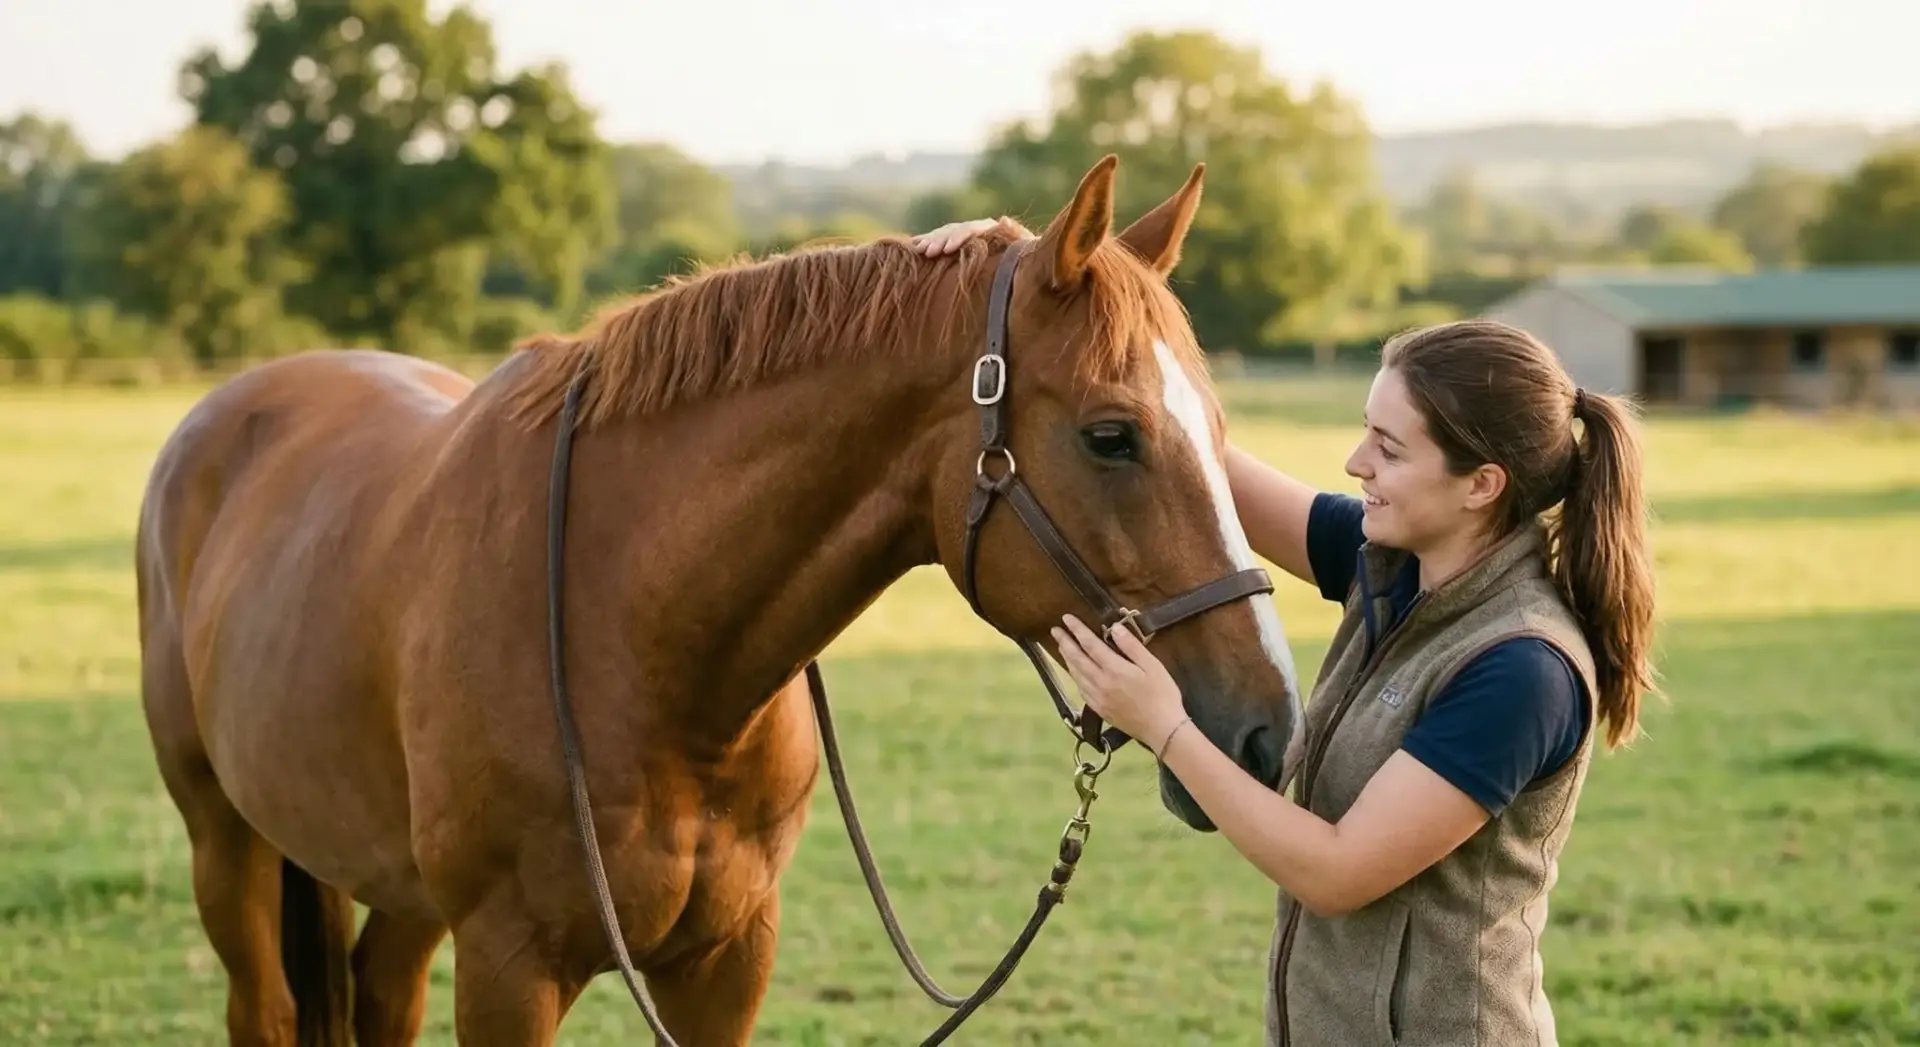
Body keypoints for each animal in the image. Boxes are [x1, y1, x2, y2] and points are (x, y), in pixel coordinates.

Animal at [134, 153, 1307, 1046]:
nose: (1269, 732)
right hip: (224, 846)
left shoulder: (727, 962)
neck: (640, 645)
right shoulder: (509, 969)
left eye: (1220, 428)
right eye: (1112, 436)